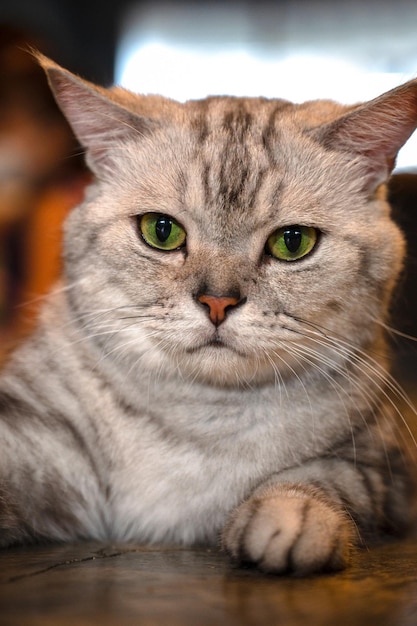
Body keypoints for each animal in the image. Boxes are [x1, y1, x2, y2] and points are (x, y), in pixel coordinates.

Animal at [0, 51, 416, 572]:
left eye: (293, 241)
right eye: (160, 231)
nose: (218, 302)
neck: (199, 423)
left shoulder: (387, 467)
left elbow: (330, 477)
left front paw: (289, 518)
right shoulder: (33, 431)